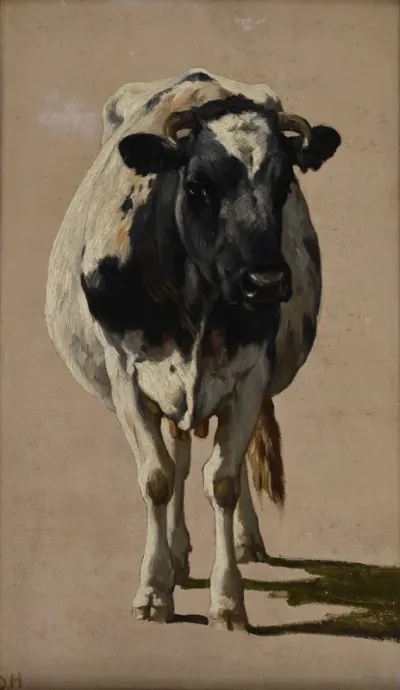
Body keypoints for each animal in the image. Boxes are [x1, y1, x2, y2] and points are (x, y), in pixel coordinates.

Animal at [45, 68, 341, 631]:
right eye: (199, 185)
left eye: (284, 185)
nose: (266, 281)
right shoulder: (125, 375)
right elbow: (158, 478)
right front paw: (153, 591)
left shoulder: (250, 376)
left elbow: (222, 481)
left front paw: (228, 600)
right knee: (178, 459)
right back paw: (178, 557)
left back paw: (245, 541)